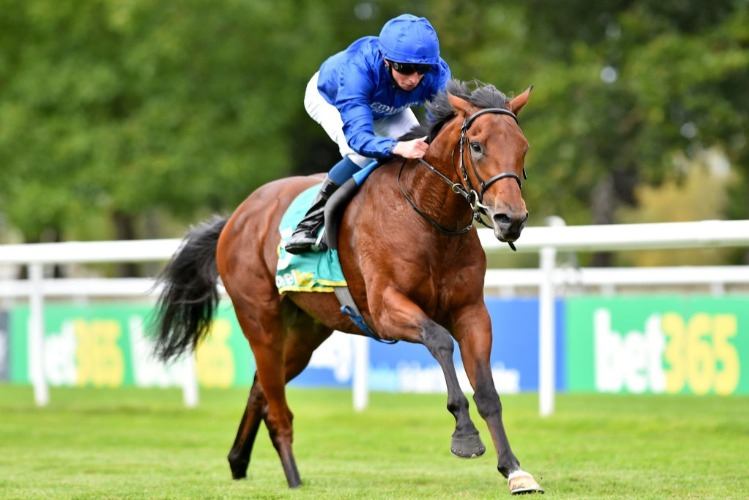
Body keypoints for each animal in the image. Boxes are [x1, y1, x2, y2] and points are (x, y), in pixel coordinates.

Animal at [152, 80, 544, 494]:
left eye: (523, 147)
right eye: (478, 146)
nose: (511, 219)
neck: (428, 218)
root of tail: (237, 217)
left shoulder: (471, 311)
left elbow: (487, 392)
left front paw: (515, 470)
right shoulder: (386, 309)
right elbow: (439, 340)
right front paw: (465, 435)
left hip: (306, 333)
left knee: (261, 386)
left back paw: (238, 461)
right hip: (261, 321)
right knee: (276, 406)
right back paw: (292, 478)